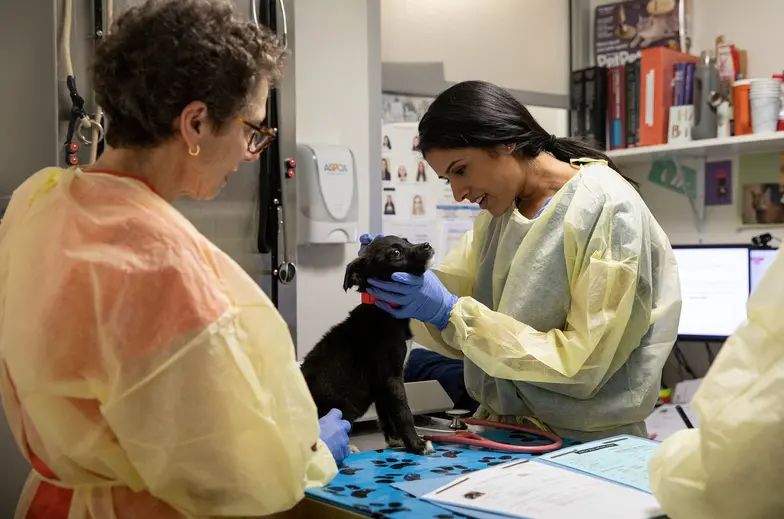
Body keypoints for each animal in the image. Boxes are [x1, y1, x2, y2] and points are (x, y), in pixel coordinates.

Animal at [300, 236, 434, 456]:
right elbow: (403, 411)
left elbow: (386, 412)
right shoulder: (391, 377)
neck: (383, 310)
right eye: (395, 253)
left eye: (406, 240)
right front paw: (416, 444)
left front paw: (396, 439)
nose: (427, 245)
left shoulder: (382, 383)